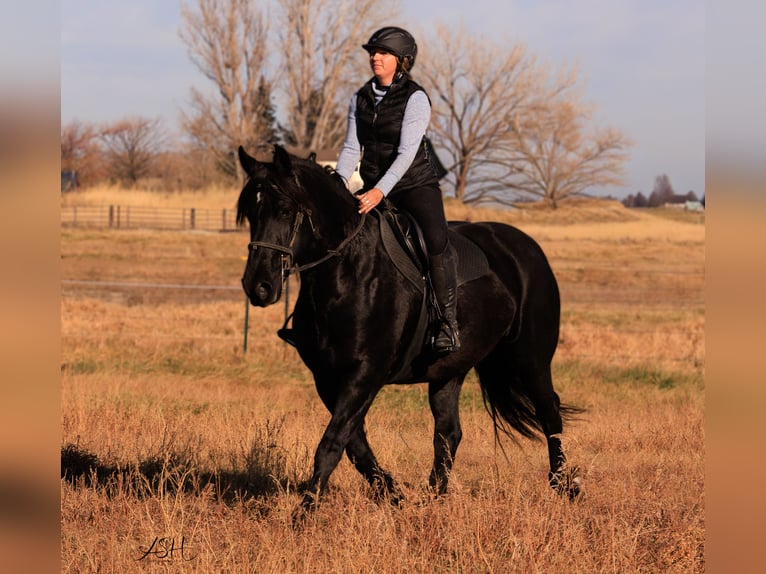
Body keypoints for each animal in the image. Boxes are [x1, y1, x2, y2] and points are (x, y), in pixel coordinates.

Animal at [236, 144, 582, 515]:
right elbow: (354, 445)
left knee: (549, 412)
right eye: (250, 213)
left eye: (285, 210)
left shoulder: (366, 373)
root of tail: (527, 248)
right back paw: (434, 499)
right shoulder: (327, 378)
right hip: (449, 369)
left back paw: (565, 485)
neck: (349, 273)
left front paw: (304, 513)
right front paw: (395, 496)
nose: (258, 287)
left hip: (531, 358)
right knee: (449, 431)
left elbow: (332, 443)